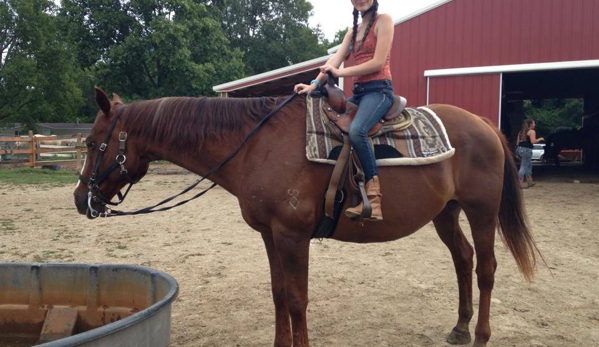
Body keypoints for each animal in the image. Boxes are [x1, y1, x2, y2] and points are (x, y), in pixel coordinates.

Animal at [72, 88, 540, 347]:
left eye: (93, 143)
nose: (80, 199)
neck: (253, 144)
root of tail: (484, 123)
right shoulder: (269, 235)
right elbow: (279, 295)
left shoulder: (293, 236)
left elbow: (298, 299)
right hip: (446, 212)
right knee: (463, 259)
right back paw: (459, 328)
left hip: (481, 211)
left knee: (486, 268)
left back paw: (480, 336)